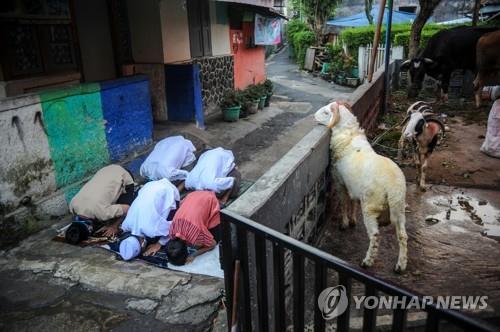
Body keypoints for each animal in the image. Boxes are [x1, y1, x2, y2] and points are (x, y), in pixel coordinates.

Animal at [314, 101, 408, 272]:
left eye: (326, 112)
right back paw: (400, 265)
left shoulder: (340, 181)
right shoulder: (353, 187)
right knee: (403, 236)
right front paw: (352, 220)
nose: (313, 116)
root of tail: (392, 187)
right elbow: (353, 203)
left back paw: (367, 262)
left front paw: (344, 223)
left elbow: (343, 202)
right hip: (399, 209)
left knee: (375, 236)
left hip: (371, 207)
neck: (349, 135)